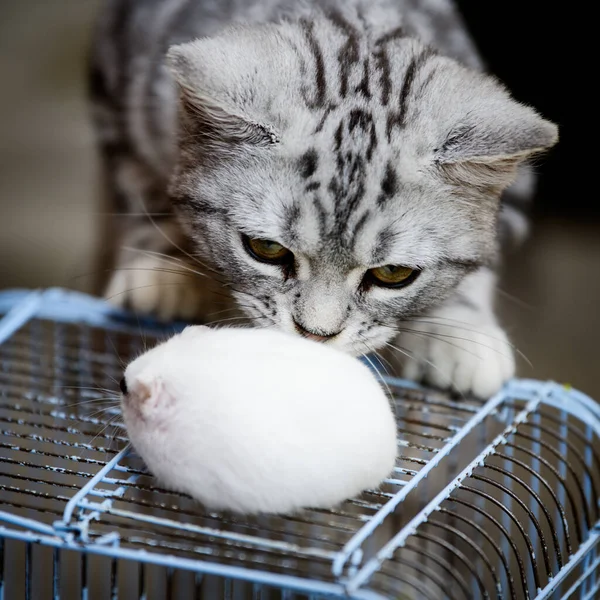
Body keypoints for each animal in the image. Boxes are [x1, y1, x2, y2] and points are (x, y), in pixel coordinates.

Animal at [89, 0, 556, 398]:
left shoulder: (515, 195)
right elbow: (142, 187)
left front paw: (460, 330)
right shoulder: (118, 95)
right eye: (266, 248)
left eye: (393, 273)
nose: (315, 334)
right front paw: (165, 268)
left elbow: (481, 261)